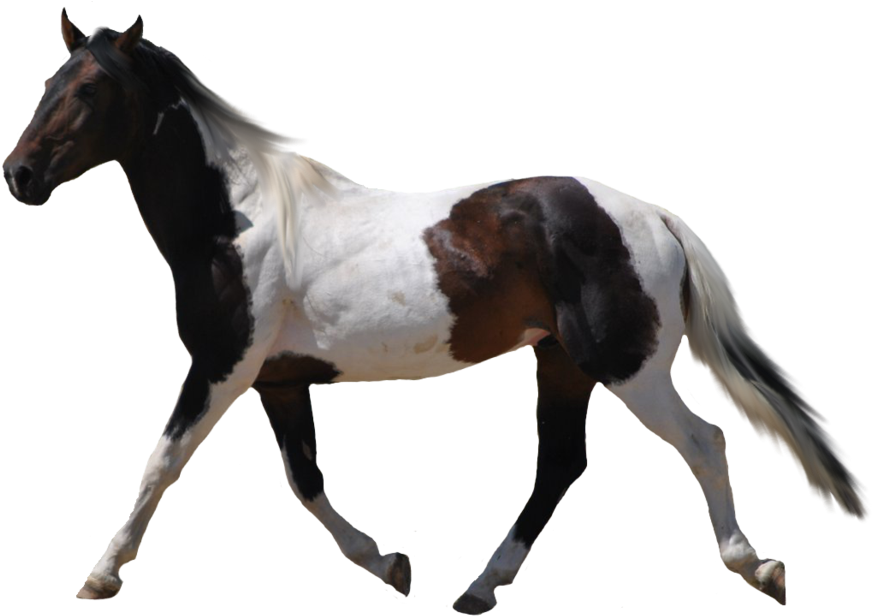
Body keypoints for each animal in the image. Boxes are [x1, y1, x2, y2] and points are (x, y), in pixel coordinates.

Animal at [4, 10, 866, 611]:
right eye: (46, 86)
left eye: (88, 90)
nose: (17, 175)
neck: (235, 221)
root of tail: (650, 215)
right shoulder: (276, 381)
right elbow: (305, 481)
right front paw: (391, 564)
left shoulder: (220, 366)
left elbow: (162, 462)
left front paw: (101, 575)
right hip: (561, 363)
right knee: (561, 463)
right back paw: (480, 589)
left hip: (629, 367)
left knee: (702, 442)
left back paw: (757, 567)